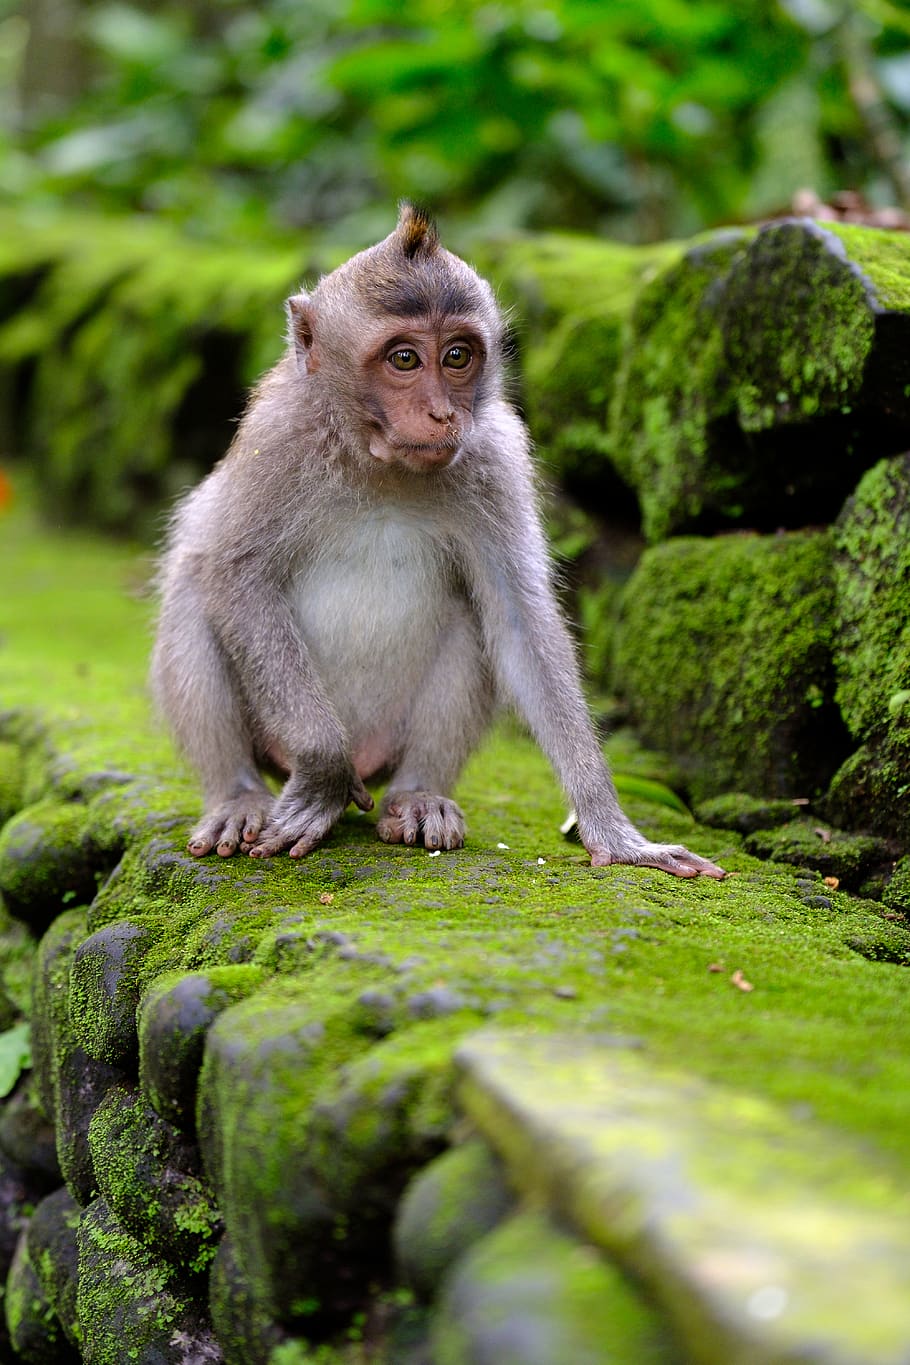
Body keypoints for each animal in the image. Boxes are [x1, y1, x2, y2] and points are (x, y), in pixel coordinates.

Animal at [150, 204, 724, 879]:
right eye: (403, 360)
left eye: (456, 356)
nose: (444, 414)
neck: (379, 465)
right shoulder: (279, 436)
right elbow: (236, 575)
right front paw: (322, 772)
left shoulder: (496, 456)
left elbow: (518, 617)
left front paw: (613, 829)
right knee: (195, 589)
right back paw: (238, 796)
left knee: (471, 616)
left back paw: (419, 796)